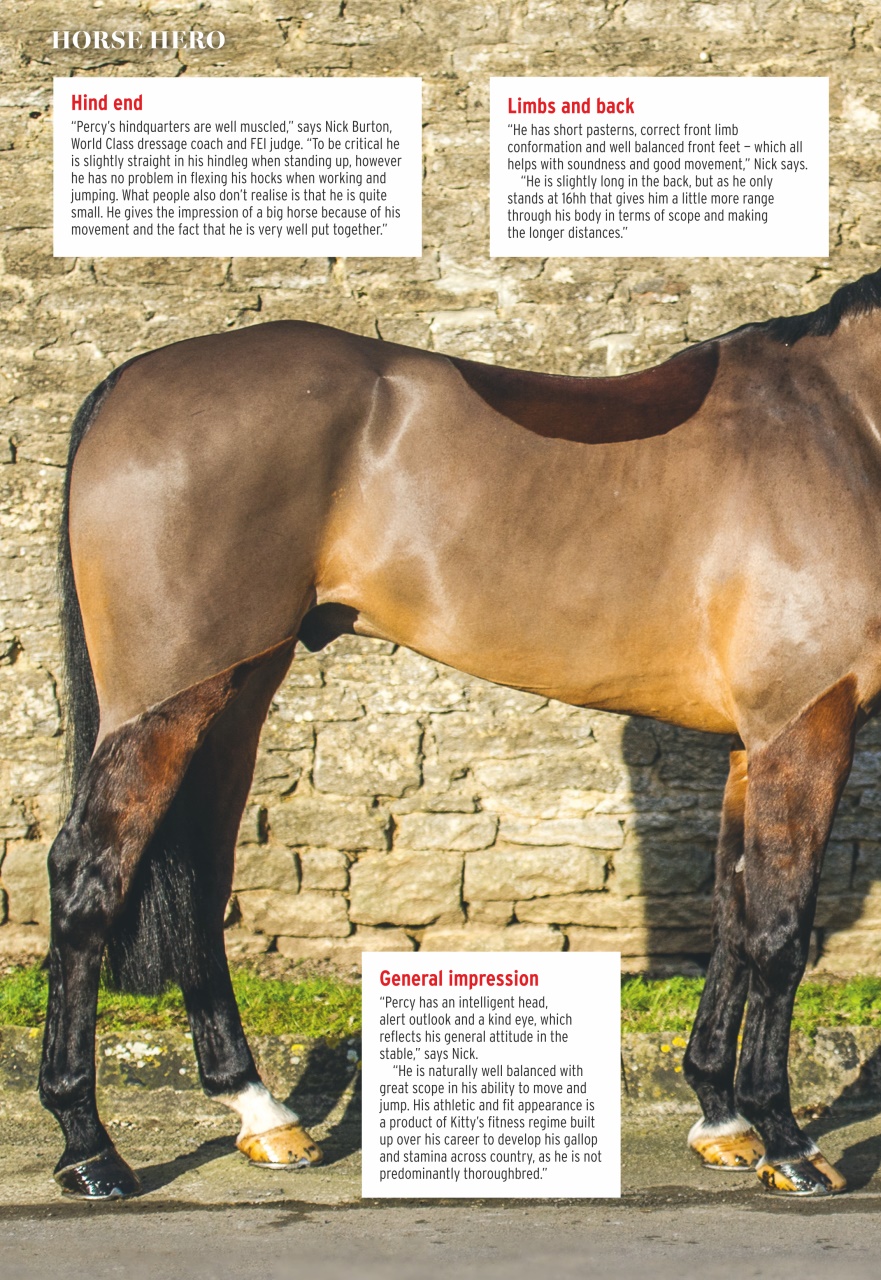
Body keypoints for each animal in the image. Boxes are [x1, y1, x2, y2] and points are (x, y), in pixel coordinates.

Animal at [42, 267, 881, 1198]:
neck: (841, 423)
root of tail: (131, 380)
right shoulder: (806, 728)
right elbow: (779, 932)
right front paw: (787, 1144)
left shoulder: (753, 744)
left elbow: (732, 918)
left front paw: (721, 1117)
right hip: (165, 702)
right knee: (88, 874)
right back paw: (89, 1148)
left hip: (237, 689)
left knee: (195, 874)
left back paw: (260, 1113)